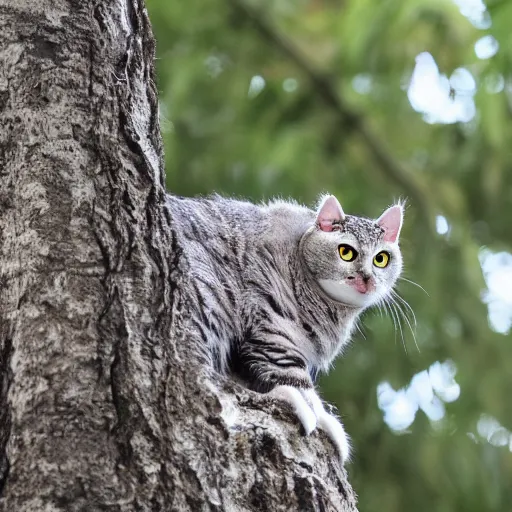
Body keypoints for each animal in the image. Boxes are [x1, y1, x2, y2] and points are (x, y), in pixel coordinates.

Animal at [168, 193, 404, 464]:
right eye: (346, 252)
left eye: (381, 258)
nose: (367, 278)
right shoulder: (273, 331)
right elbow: (299, 382)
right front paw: (323, 418)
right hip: (208, 296)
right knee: (203, 377)